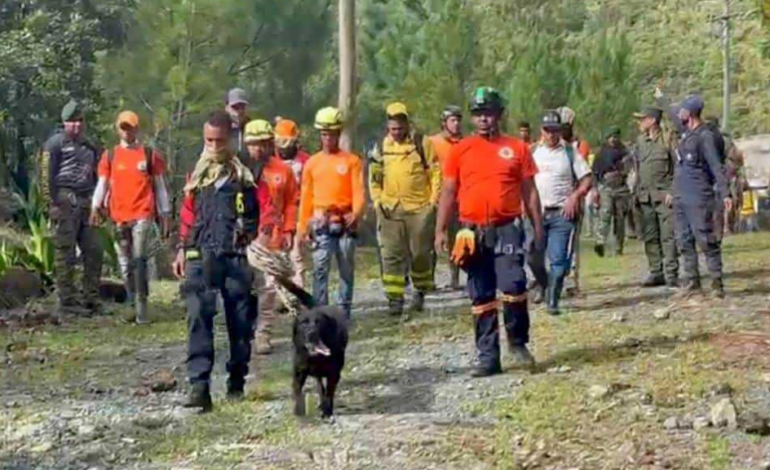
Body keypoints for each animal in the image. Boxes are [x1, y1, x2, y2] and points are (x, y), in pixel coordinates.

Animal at [278, 278, 346, 416]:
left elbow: (329, 393)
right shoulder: (299, 372)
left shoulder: (334, 373)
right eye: (304, 323)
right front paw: (298, 410)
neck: (315, 358)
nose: (312, 333)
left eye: (319, 322)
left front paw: (327, 410)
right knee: (319, 385)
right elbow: (298, 392)